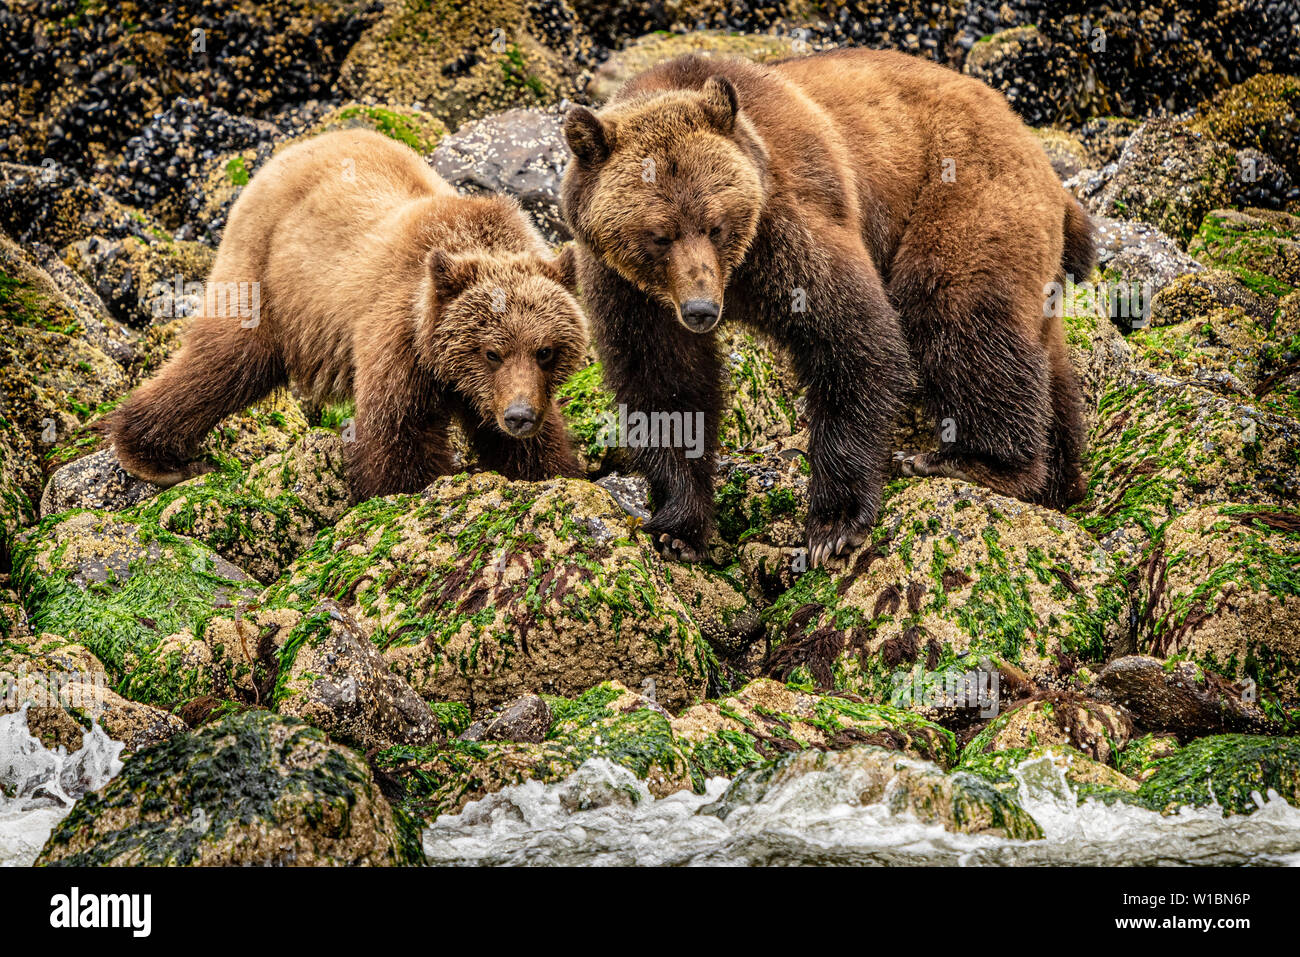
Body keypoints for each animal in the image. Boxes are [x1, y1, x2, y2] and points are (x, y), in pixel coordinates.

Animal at [561, 48, 1097, 564]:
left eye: (715, 225)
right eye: (659, 235)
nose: (700, 310)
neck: (737, 272)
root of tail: (1029, 140)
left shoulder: (790, 216)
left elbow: (853, 341)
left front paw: (832, 526)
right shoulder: (623, 285)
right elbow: (665, 384)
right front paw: (678, 527)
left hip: (962, 192)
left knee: (955, 312)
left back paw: (971, 461)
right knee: (1043, 356)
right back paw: (1058, 480)